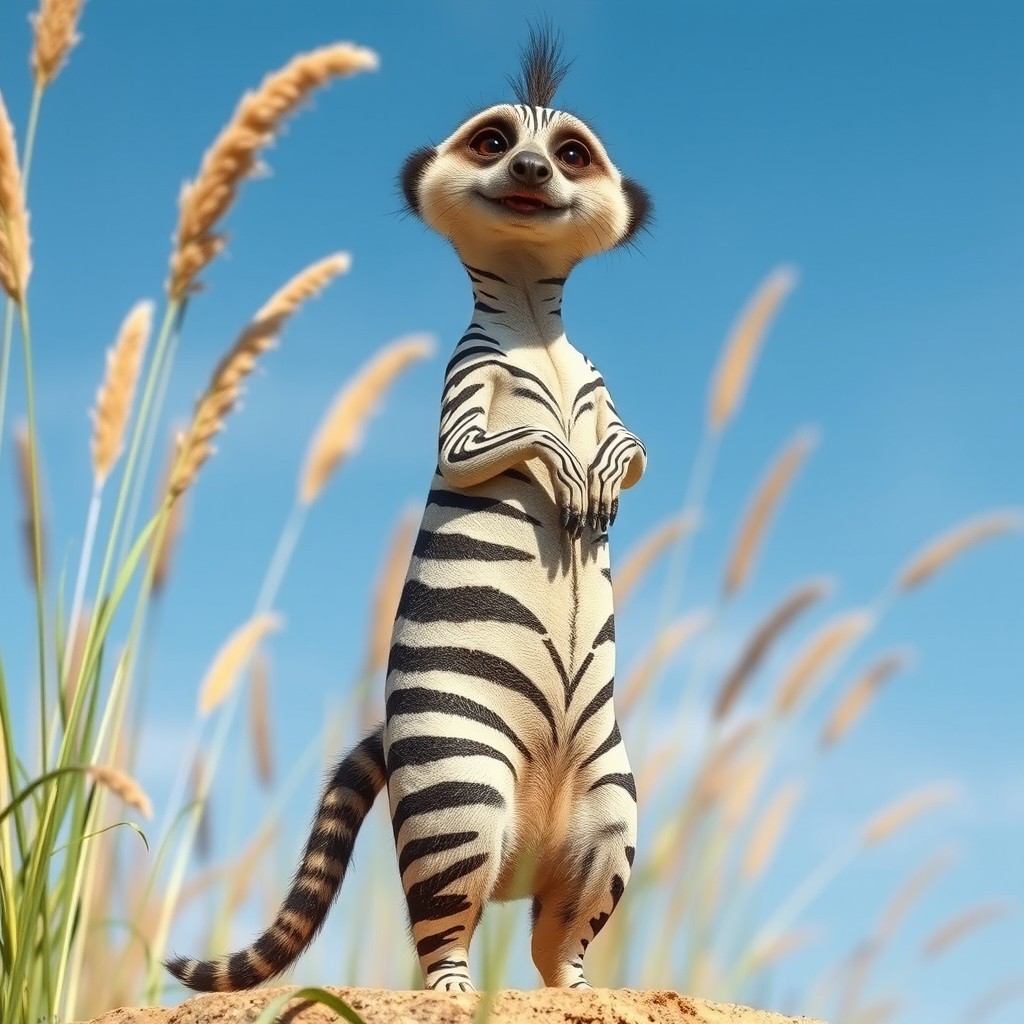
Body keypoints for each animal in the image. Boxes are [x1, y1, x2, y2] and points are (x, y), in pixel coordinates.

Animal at [166, 26, 651, 994]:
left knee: (555, 943)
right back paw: (458, 993)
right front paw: (563, 469)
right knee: (444, 926)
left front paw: (604, 473)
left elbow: (634, 447)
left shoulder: (601, 387)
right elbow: (487, 447)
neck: (535, 323)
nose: (533, 170)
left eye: (571, 153)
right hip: (456, 784)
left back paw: (583, 994)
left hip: (609, 814)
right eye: (495, 141)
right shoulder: (465, 387)